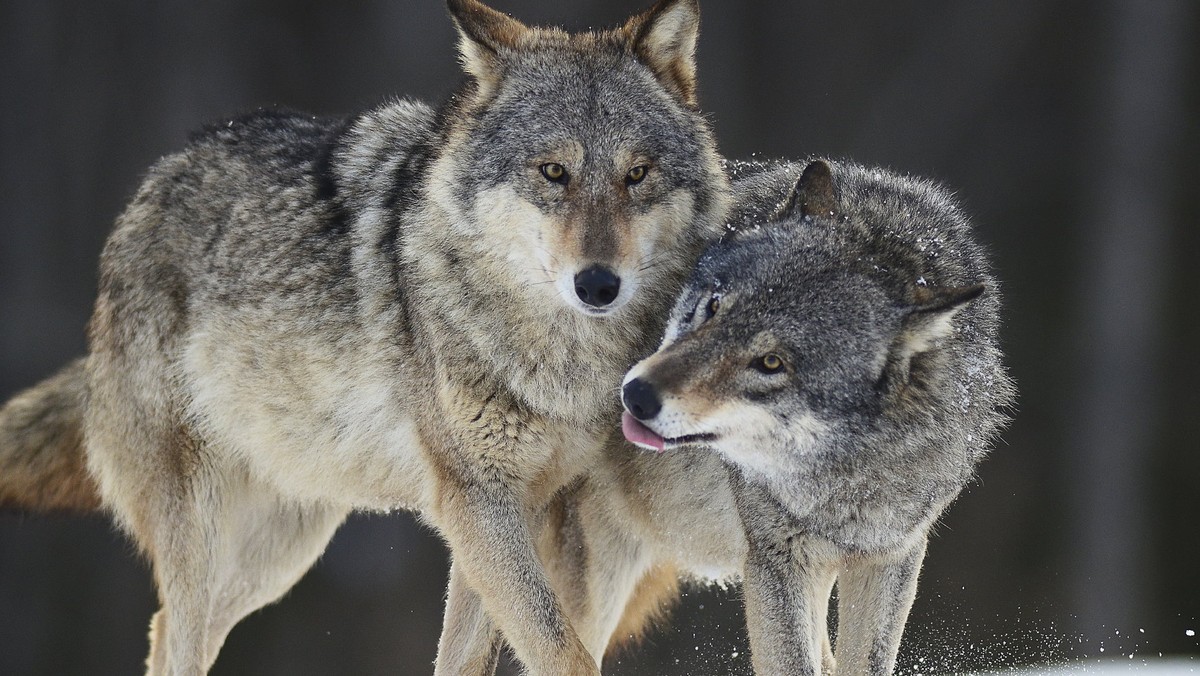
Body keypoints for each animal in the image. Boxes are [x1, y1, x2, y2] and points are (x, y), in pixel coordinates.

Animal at [0, 0, 729, 672]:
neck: (558, 357)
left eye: (637, 175)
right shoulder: (477, 502)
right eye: (554, 172)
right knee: (174, 635)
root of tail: (153, 182)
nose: (599, 284)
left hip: (279, 553)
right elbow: (562, 649)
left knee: (168, 632)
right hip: (206, 532)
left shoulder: (509, 512)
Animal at [609, 159, 1022, 676]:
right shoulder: (777, 560)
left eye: (771, 363)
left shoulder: (891, 556)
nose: (636, 394)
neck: (853, 475)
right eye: (713, 306)